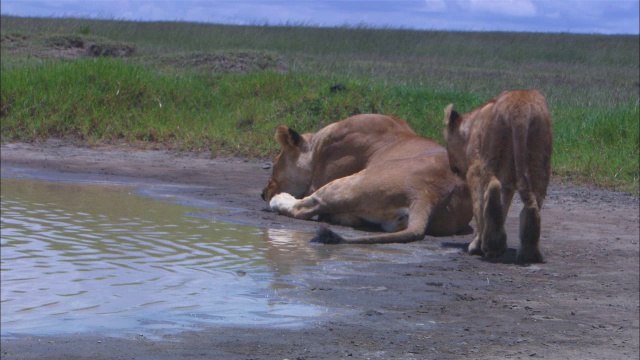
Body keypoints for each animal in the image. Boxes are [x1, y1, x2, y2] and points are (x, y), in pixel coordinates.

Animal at [258, 114, 470, 243]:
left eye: (275, 164)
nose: (262, 193)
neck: (316, 147)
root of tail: (429, 194)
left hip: (351, 182)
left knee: (306, 207)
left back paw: (280, 200)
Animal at [442, 90, 552, 262]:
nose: (452, 167)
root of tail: (520, 110)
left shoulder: (474, 169)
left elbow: (480, 207)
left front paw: (477, 245)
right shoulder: (507, 181)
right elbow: (504, 206)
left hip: (492, 153)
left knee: (493, 187)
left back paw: (492, 246)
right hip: (540, 158)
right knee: (535, 200)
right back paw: (529, 253)